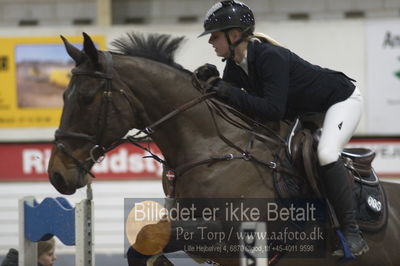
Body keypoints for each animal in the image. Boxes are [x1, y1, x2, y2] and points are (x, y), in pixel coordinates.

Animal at [47, 32, 400, 264]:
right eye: (63, 96)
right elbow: (145, 241)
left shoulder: (235, 235)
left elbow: (148, 236)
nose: (56, 175)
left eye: (86, 98)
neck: (212, 148)